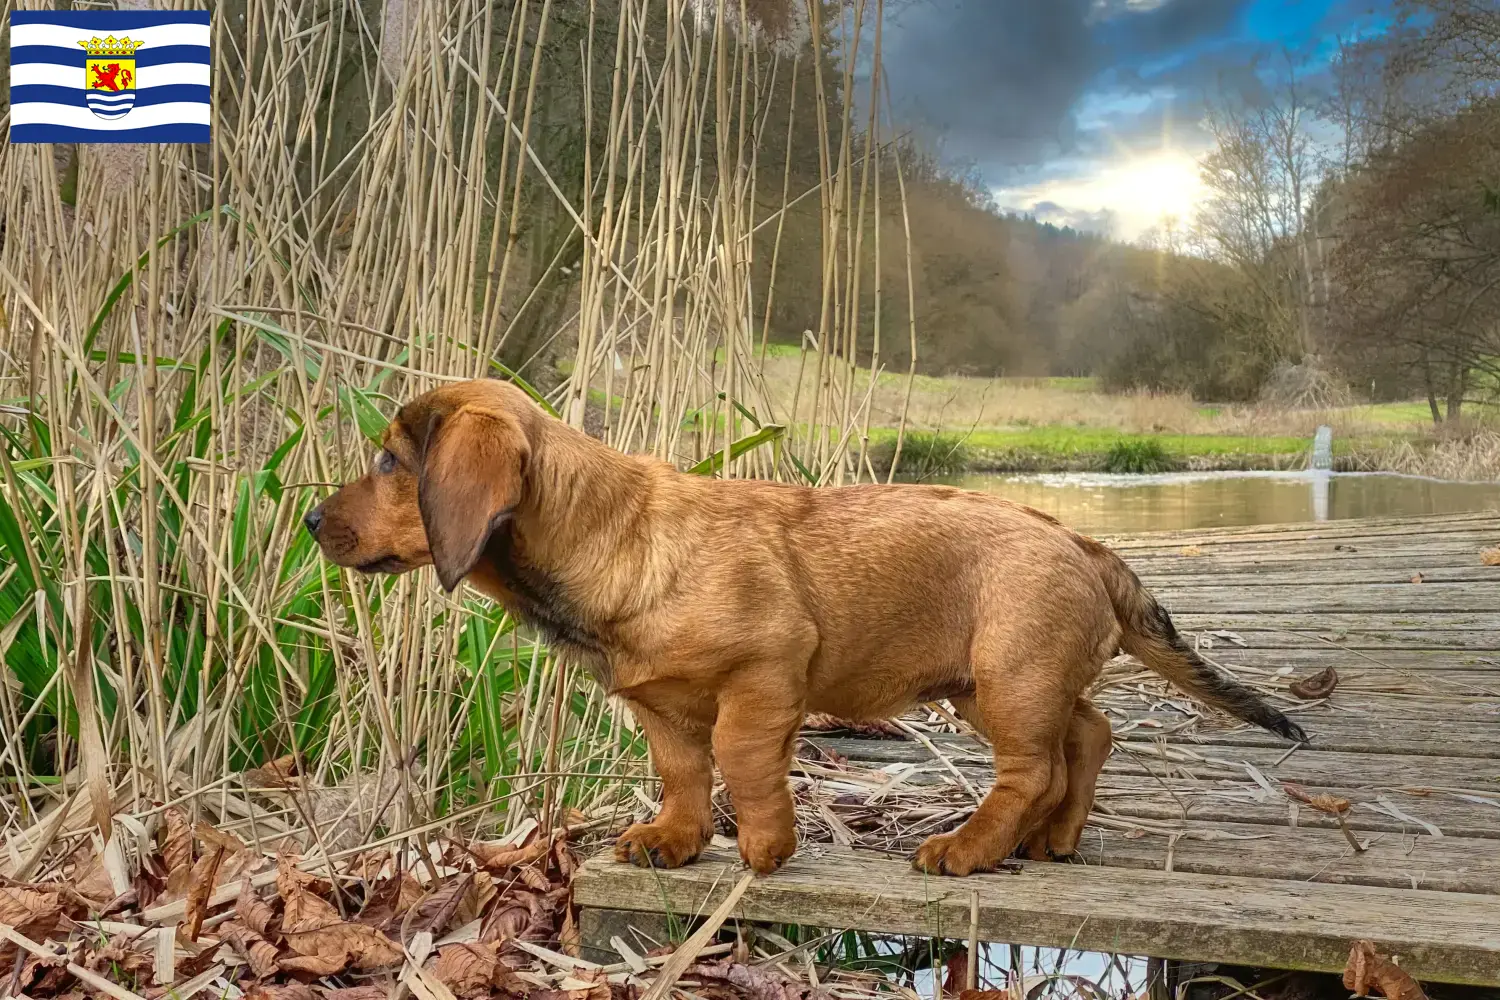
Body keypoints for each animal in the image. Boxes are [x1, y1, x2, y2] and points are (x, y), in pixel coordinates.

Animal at [304, 379, 1302, 869]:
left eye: (390, 462)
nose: (311, 521)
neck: (617, 537)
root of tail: (1081, 539)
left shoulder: (764, 678)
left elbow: (743, 763)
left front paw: (765, 849)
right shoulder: (661, 707)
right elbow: (682, 772)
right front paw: (674, 842)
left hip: (1010, 681)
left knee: (1034, 770)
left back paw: (971, 848)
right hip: (993, 685)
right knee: (1087, 737)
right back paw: (1052, 840)